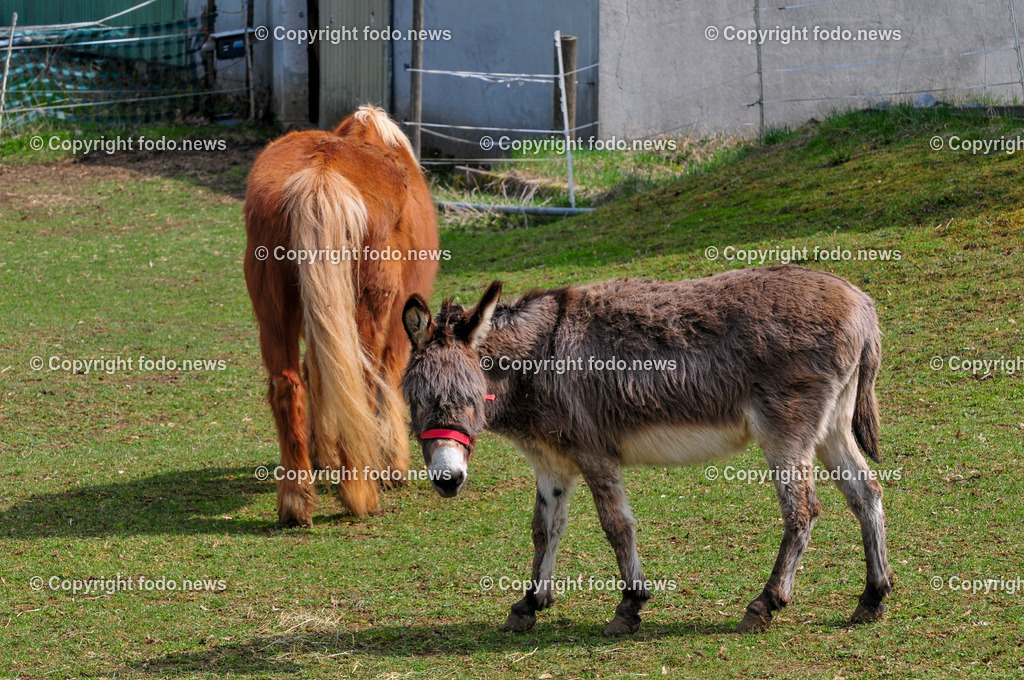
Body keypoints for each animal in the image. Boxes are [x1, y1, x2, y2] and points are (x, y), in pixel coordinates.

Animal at [244, 105, 439, 527]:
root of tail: (321, 174)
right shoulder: (400, 324)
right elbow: (388, 379)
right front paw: (392, 465)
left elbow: (318, 373)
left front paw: (325, 455)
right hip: (368, 306)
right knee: (361, 381)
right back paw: (360, 492)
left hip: (275, 309)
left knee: (290, 384)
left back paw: (296, 500)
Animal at [400, 265, 894, 635]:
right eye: (416, 399)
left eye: (470, 396)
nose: (447, 480)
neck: (538, 360)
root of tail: (861, 303)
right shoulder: (552, 464)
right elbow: (545, 528)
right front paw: (530, 603)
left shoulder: (594, 453)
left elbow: (616, 525)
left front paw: (629, 605)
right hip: (830, 427)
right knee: (865, 492)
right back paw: (873, 597)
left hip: (786, 430)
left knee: (802, 509)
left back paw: (765, 603)